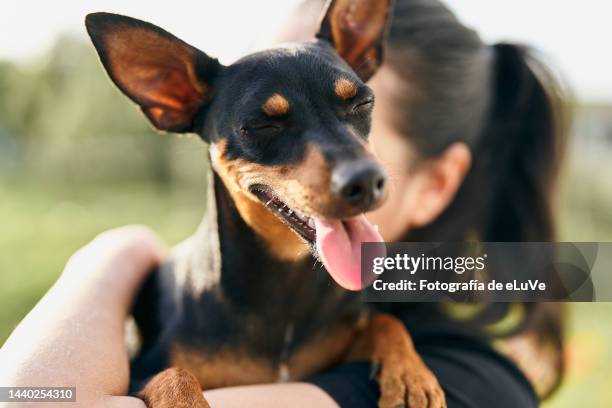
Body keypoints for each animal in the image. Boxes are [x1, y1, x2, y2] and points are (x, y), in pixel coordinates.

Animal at [83, 1, 442, 406]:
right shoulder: (139, 376)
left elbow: (385, 321)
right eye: (261, 126)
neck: (283, 284)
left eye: (363, 102)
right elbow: (175, 374)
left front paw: (411, 377)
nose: (366, 181)